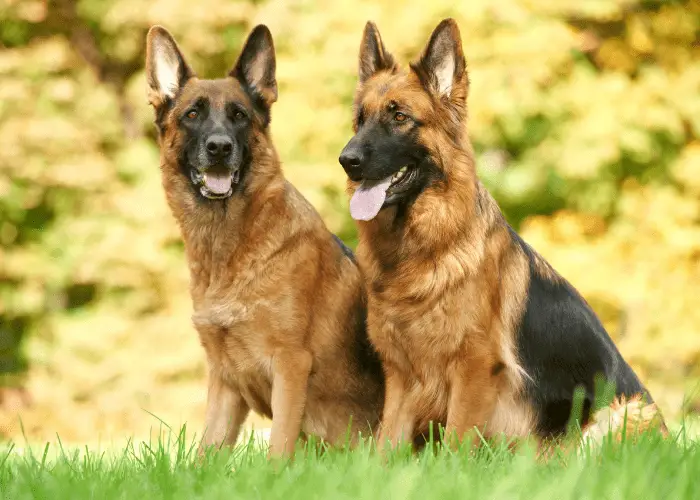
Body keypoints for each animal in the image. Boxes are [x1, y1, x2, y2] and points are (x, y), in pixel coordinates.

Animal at [144, 26, 382, 458]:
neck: (229, 249)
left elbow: (278, 450)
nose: (219, 148)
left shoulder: (290, 365)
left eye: (238, 115)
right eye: (192, 115)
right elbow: (206, 453)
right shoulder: (224, 382)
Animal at [340, 18, 668, 450]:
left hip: (617, 414)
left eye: (400, 117)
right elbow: (384, 447)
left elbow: (456, 441)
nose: (346, 160)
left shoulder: (475, 369)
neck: (422, 249)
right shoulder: (401, 377)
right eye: (360, 120)